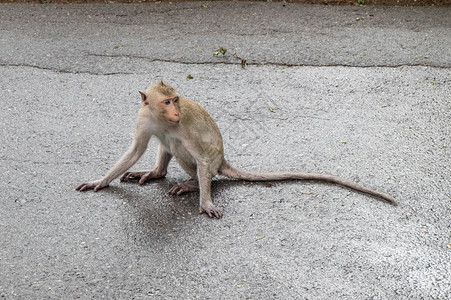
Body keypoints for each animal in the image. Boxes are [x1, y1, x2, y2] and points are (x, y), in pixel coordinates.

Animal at [77, 81, 400, 219]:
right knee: (164, 144)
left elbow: (198, 154)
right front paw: (100, 181)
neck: (162, 119)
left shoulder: (184, 127)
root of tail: (224, 160)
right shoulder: (144, 118)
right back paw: (157, 172)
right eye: (167, 101)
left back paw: (193, 183)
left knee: (191, 155)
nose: (176, 111)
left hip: (211, 159)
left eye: (176, 100)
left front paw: (204, 200)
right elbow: (135, 149)